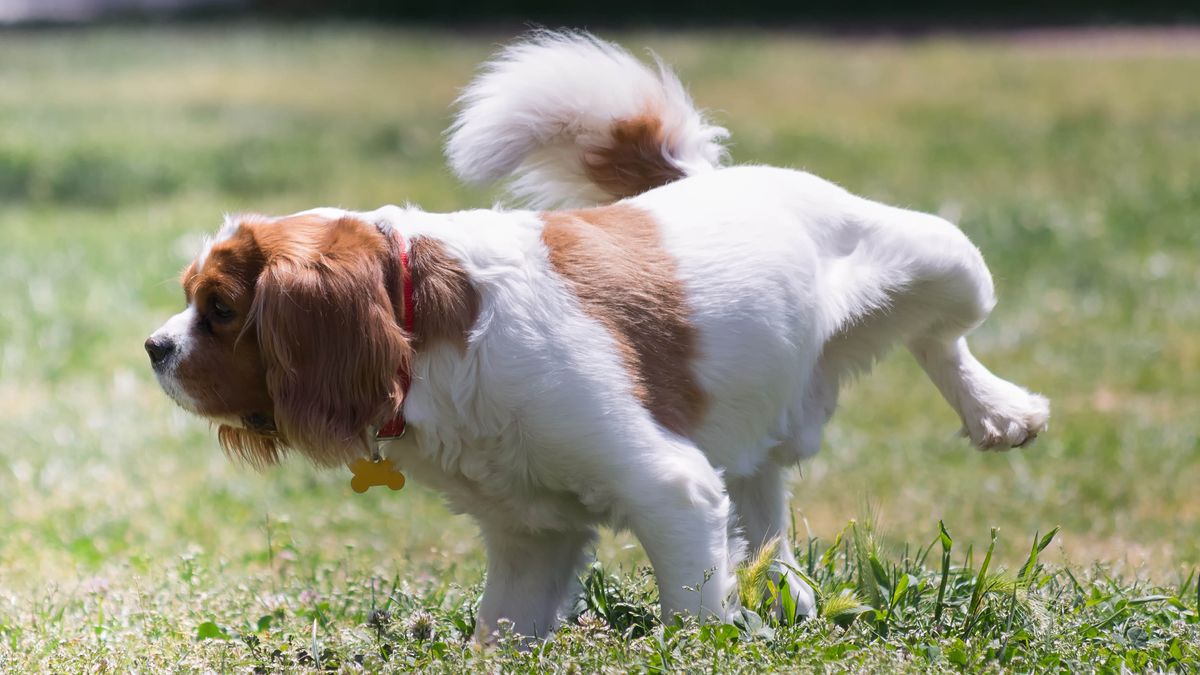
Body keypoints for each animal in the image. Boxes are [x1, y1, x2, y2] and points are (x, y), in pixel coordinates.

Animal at [147, 31, 1051, 638]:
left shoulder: (671, 490)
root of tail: (707, 179)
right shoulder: (531, 541)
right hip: (756, 428)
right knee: (765, 508)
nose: (154, 347)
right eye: (191, 299)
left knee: (944, 334)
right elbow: (500, 631)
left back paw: (999, 411)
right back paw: (784, 592)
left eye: (219, 307)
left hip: (944, 256)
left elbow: (693, 617)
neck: (426, 334)